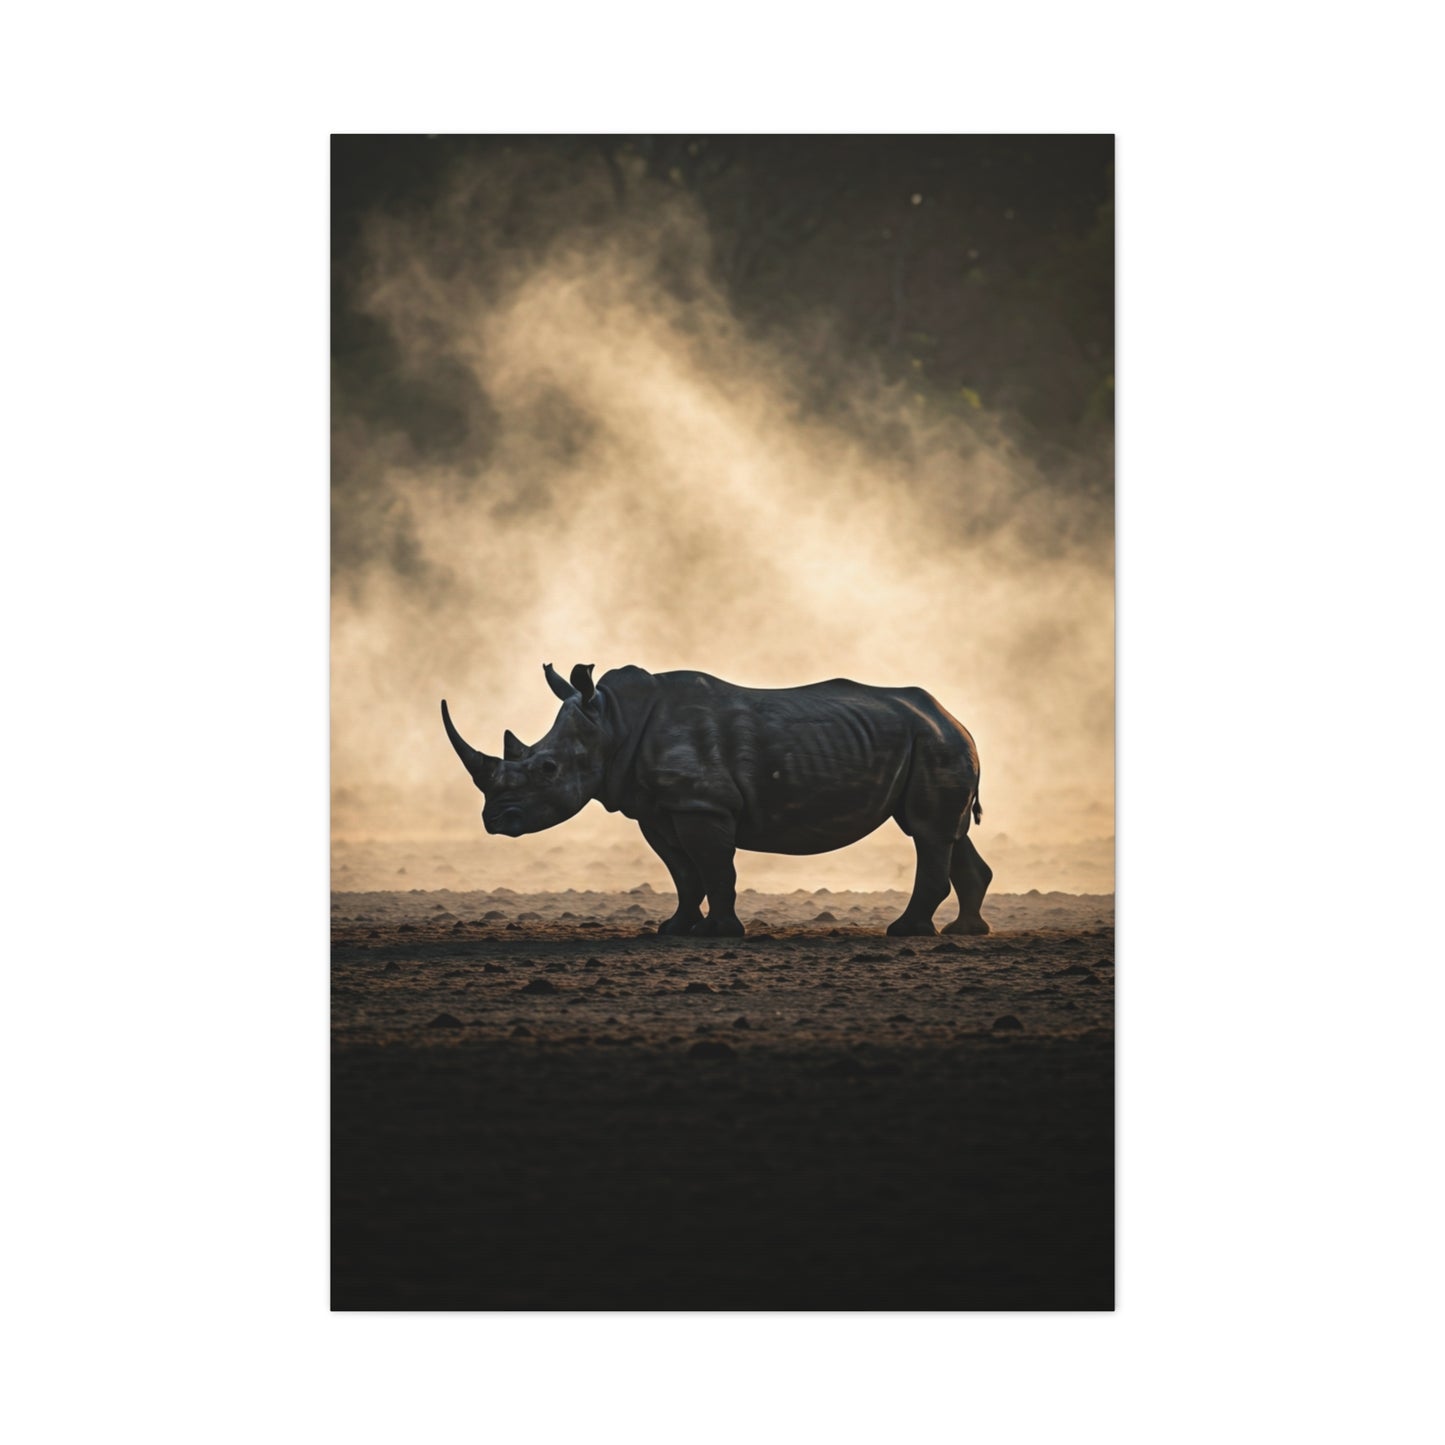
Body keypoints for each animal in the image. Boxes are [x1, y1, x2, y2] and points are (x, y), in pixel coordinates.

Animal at [441, 663, 992, 937]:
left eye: (548, 769)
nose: (495, 820)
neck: (613, 721)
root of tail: (955, 717)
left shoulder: (701, 803)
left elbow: (714, 867)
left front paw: (722, 932)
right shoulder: (658, 808)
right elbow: (684, 873)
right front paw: (674, 929)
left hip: (935, 742)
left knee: (927, 831)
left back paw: (906, 932)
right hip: (932, 741)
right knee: (946, 832)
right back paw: (966, 932)